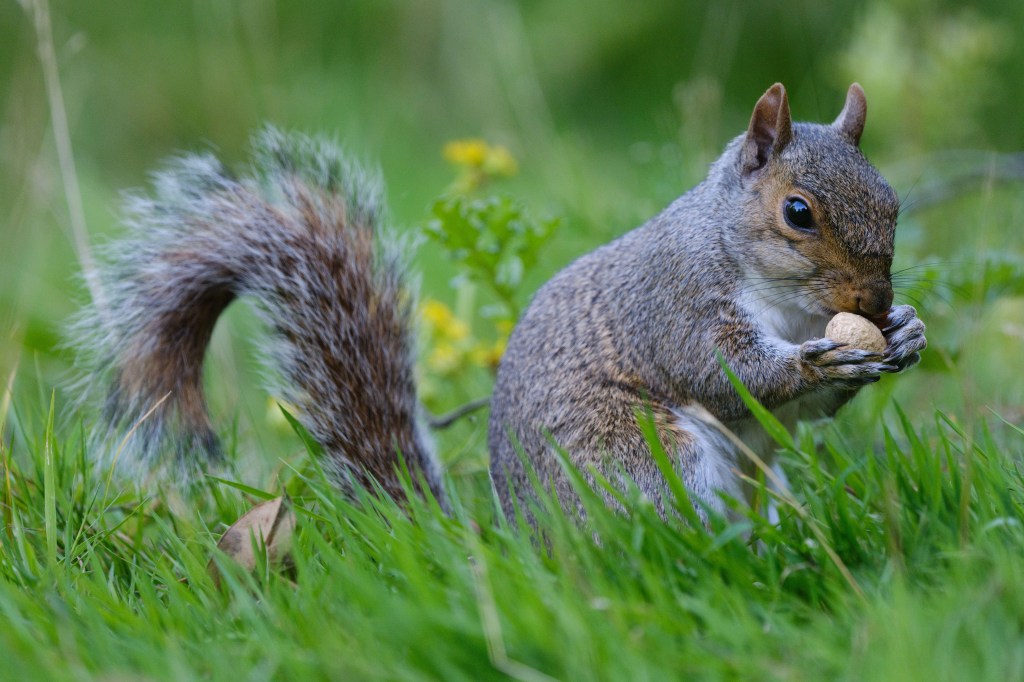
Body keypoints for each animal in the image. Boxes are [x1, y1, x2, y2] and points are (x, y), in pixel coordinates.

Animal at [72, 84, 929, 520]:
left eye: (891, 201)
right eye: (798, 212)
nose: (874, 297)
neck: (785, 302)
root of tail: (523, 546)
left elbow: (801, 417)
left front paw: (906, 334)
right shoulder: (676, 304)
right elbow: (728, 375)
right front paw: (821, 363)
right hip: (643, 459)